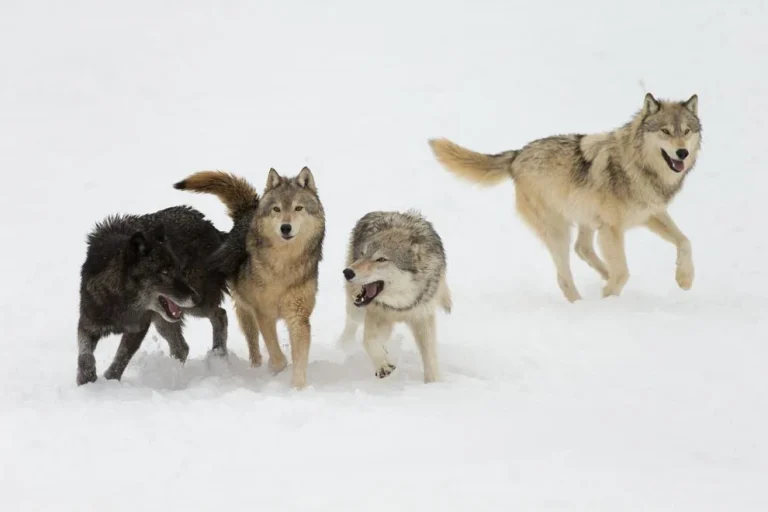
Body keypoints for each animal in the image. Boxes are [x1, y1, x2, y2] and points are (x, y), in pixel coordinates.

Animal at [76, 206, 230, 386]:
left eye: (178, 268)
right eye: (164, 272)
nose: (196, 297)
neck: (122, 300)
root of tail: (213, 228)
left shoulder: (139, 327)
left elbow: (121, 358)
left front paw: (110, 381)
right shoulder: (88, 323)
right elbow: (85, 354)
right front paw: (86, 379)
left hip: (192, 309)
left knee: (220, 315)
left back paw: (218, 355)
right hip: (164, 319)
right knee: (182, 348)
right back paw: (173, 371)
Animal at [174, 167, 325, 389]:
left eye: (298, 208)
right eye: (277, 209)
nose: (285, 228)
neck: (283, 267)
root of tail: (249, 211)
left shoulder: (298, 316)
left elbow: (299, 359)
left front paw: (298, 388)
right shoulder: (263, 314)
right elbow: (276, 354)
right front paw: (275, 368)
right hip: (244, 311)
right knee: (253, 346)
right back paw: (256, 368)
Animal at [336, 210, 452, 383]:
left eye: (381, 259)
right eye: (363, 254)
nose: (347, 272)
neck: (400, 306)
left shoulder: (423, 317)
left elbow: (430, 356)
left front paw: (433, 383)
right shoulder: (375, 313)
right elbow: (368, 341)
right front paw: (382, 366)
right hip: (357, 309)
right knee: (352, 323)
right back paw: (344, 344)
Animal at [428, 93, 701, 302]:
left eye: (686, 131)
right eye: (666, 131)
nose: (682, 153)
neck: (638, 166)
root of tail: (517, 155)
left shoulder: (650, 214)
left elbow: (685, 241)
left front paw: (685, 279)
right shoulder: (612, 229)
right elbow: (623, 272)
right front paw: (608, 297)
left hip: (584, 220)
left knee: (582, 249)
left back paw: (603, 276)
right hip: (559, 231)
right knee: (564, 276)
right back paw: (581, 305)